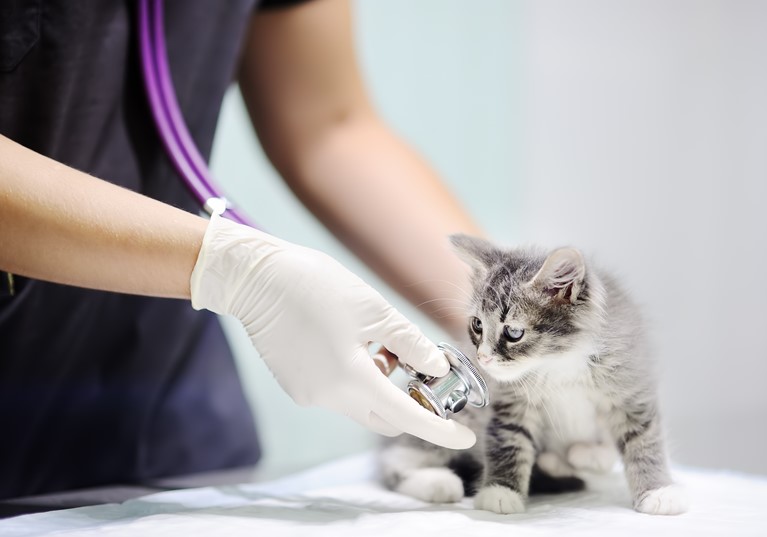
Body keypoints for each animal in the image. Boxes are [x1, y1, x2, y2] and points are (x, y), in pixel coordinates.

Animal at [380, 234, 688, 516]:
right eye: (477, 325)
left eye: (513, 332)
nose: (482, 358)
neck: (559, 364)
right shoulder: (511, 402)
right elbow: (507, 439)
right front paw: (500, 492)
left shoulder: (630, 388)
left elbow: (644, 441)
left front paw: (658, 490)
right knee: (396, 461)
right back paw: (437, 482)